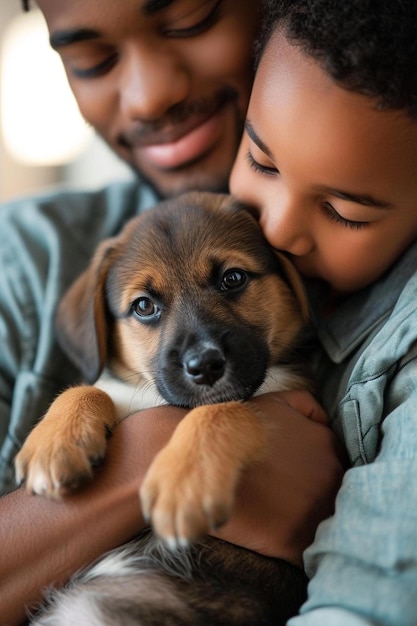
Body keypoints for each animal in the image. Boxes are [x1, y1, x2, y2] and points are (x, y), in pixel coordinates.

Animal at [17, 191, 312, 624]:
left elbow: (223, 410)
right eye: (144, 306)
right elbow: (87, 389)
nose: (204, 366)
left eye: (233, 279)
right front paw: (55, 443)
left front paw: (186, 481)